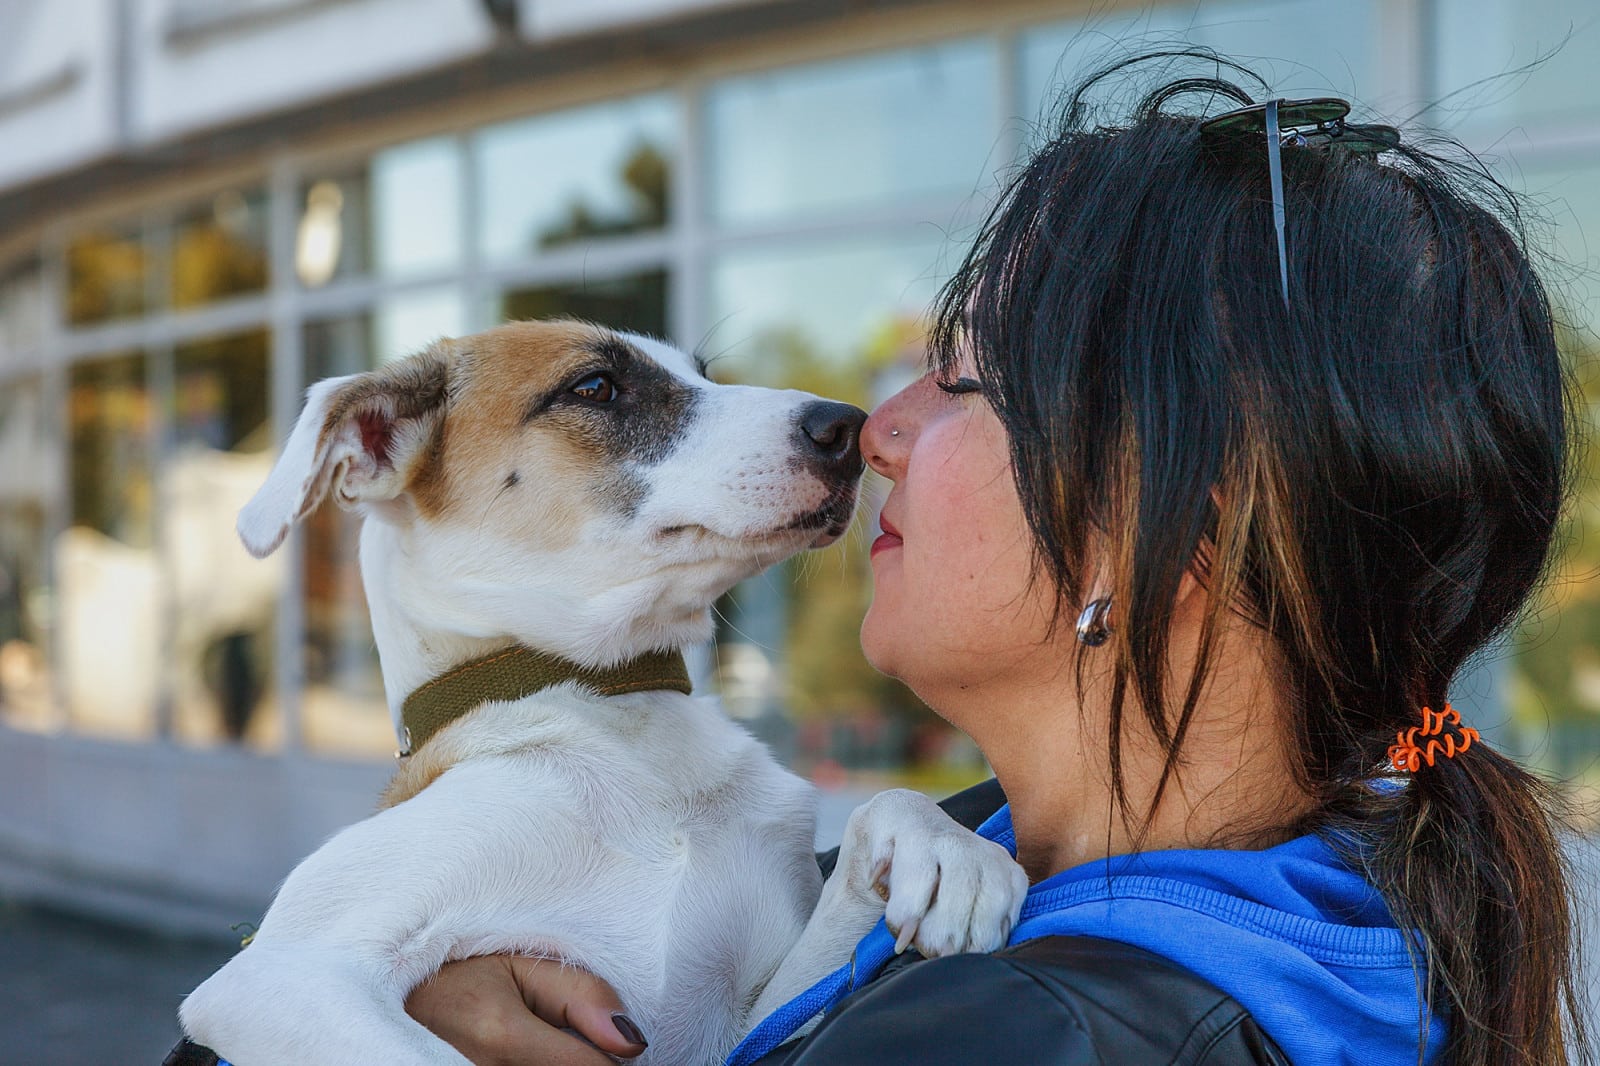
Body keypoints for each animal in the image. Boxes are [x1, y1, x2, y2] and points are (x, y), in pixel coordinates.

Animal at [175, 320, 1024, 1056]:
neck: (612, 710)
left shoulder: (750, 1019)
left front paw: (953, 851)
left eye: (701, 372)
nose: (849, 425)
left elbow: (885, 811)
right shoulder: (287, 972)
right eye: (595, 386)